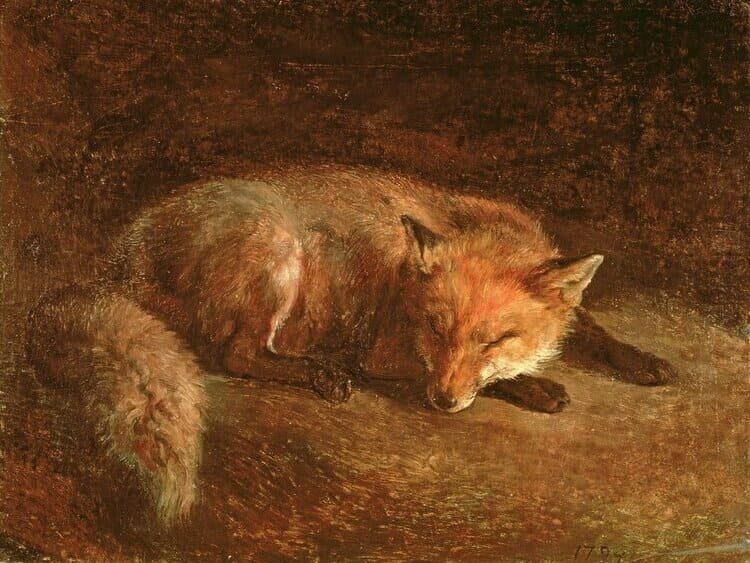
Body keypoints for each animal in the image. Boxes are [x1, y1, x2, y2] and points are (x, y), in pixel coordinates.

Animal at [27, 164, 675, 525]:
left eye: (495, 338)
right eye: (436, 328)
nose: (442, 404)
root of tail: (122, 260)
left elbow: (591, 326)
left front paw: (642, 361)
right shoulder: (389, 351)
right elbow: (472, 379)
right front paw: (535, 387)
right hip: (278, 247)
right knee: (237, 355)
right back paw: (321, 371)